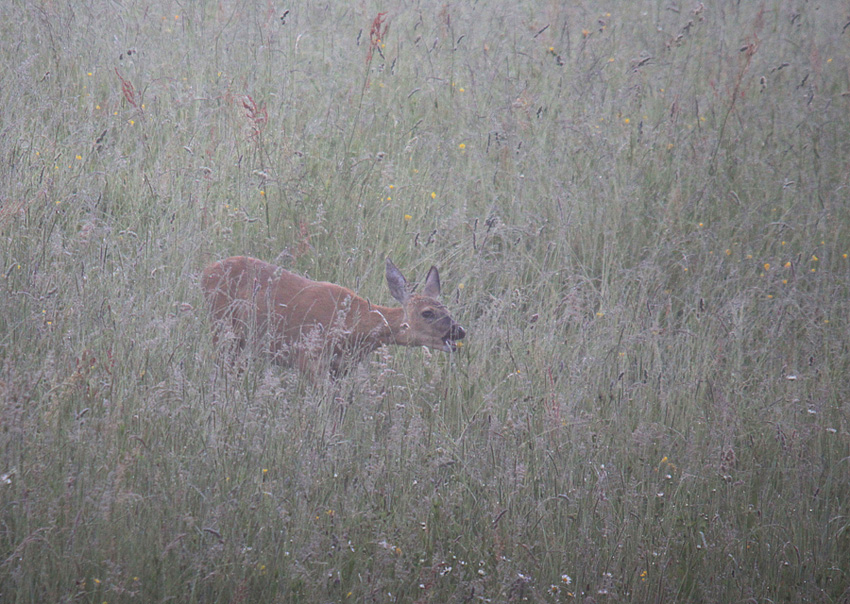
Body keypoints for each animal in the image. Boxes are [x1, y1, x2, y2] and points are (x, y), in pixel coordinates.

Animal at [199, 255, 464, 378]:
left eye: (449, 311)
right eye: (427, 313)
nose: (459, 331)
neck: (355, 325)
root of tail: (206, 270)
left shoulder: (341, 368)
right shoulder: (309, 358)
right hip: (222, 327)